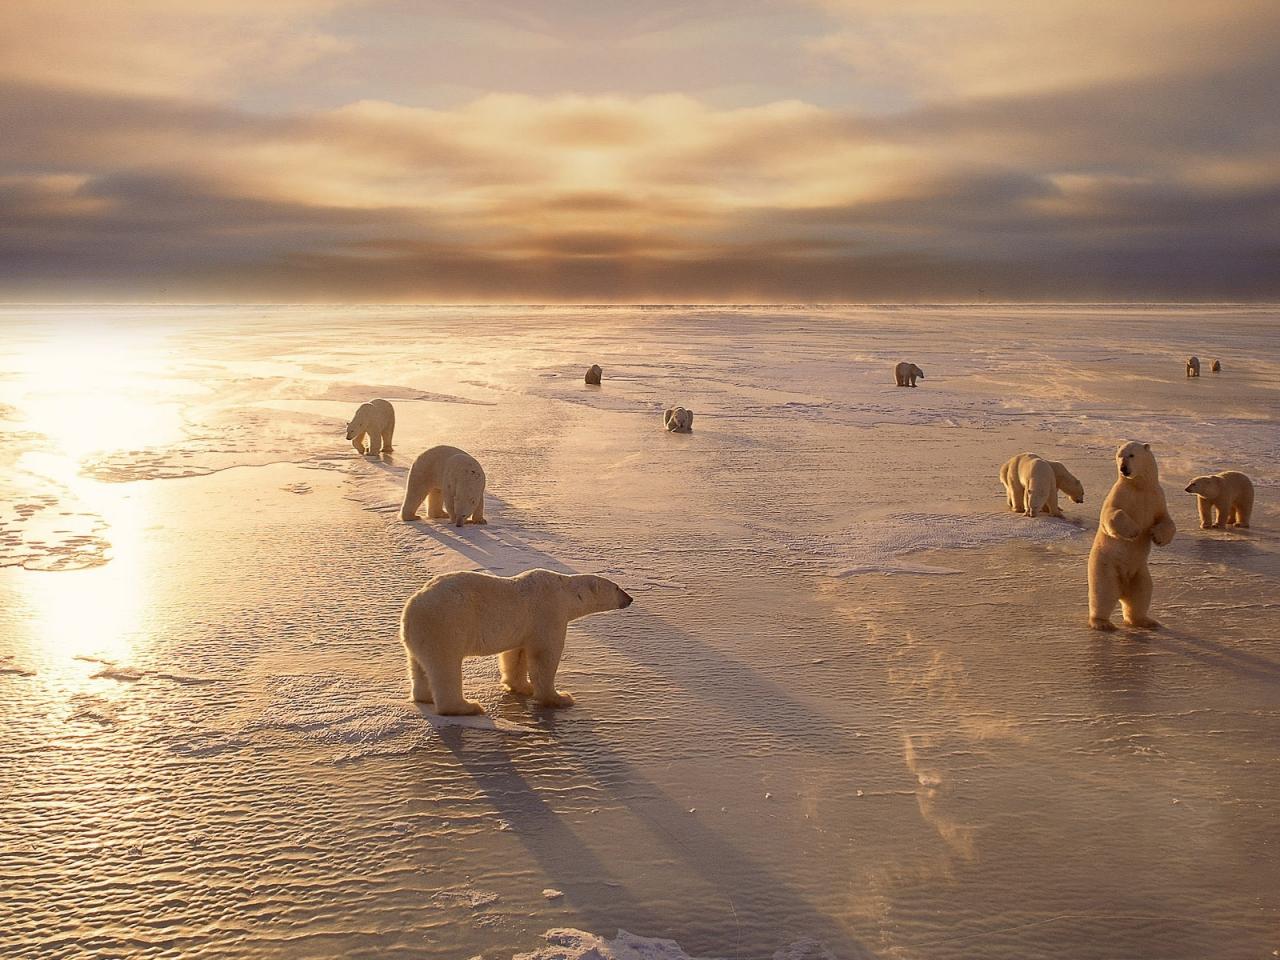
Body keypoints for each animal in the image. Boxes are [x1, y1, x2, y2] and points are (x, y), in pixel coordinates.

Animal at [401, 570, 632, 716]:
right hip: (446, 625)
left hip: (420, 635)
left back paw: (424, 697)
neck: (565, 591)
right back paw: (467, 707)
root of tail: (411, 608)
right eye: (617, 588)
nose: (630, 599)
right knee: (445, 667)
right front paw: (560, 698)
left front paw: (523, 687)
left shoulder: (524, 626)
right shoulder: (549, 611)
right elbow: (544, 656)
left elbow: (516, 654)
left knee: (418, 666)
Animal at [1085, 442, 1172, 632]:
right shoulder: (1120, 494)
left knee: (1141, 594)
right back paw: (1102, 623)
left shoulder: (1156, 497)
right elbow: (1111, 514)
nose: (1123, 469)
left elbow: (1166, 519)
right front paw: (1134, 531)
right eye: (1119, 455)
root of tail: (1122, 589)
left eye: (1131, 455)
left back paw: (1145, 621)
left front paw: (1157, 536)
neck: (1139, 486)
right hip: (1105, 567)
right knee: (1103, 593)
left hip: (1139, 573)